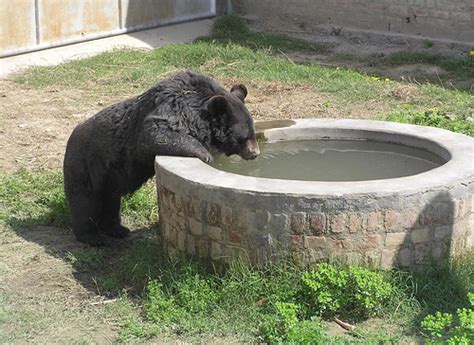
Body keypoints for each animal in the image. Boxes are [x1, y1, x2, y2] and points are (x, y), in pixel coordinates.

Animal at [63, 70, 260, 245]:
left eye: (252, 132)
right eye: (244, 137)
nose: (255, 153)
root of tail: (70, 139)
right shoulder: (169, 111)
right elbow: (156, 133)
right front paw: (206, 155)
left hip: (109, 178)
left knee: (111, 202)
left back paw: (118, 229)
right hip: (87, 166)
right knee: (85, 201)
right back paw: (93, 237)